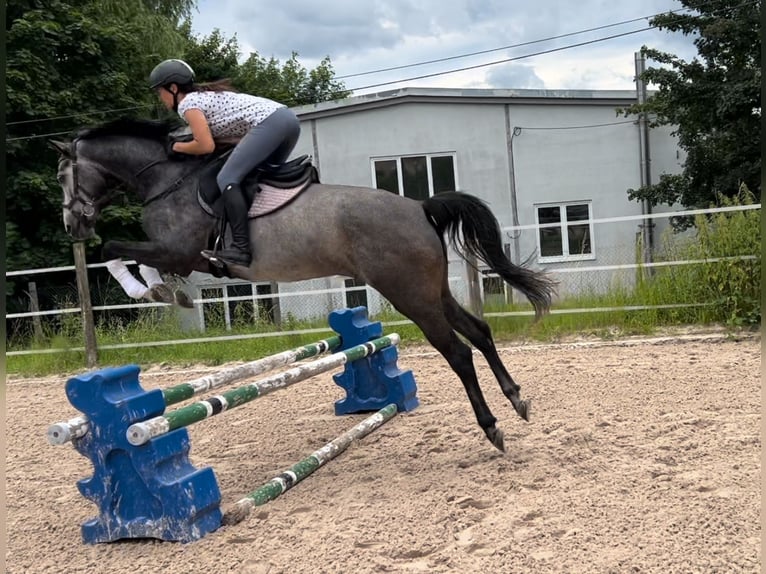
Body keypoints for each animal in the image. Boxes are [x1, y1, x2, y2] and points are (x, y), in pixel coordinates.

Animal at [49, 118, 560, 454]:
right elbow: (123, 251)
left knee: (458, 352)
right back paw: (517, 399)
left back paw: (492, 426)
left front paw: (153, 290)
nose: (72, 225)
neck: (167, 179)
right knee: (479, 331)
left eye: (62, 175)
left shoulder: (178, 251)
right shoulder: (173, 253)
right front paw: (163, 292)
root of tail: (419, 207)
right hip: (433, 292)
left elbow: (113, 248)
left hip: (409, 296)